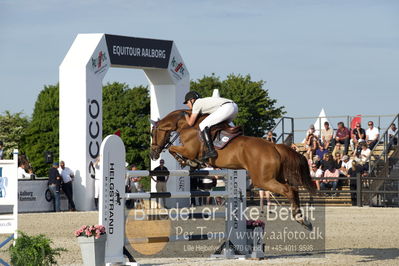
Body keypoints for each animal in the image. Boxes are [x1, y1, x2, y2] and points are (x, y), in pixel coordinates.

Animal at [152, 109, 318, 230]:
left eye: (153, 133)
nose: (153, 154)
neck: (188, 125)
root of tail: (275, 146)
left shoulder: (189, 150)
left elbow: (172, 149)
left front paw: (187, 161)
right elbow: (173, 149)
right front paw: (190, 162)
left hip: (263, 180)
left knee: (288, 190)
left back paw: (301, 219)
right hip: (275, 177)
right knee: (294, 190)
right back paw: (305, 220)